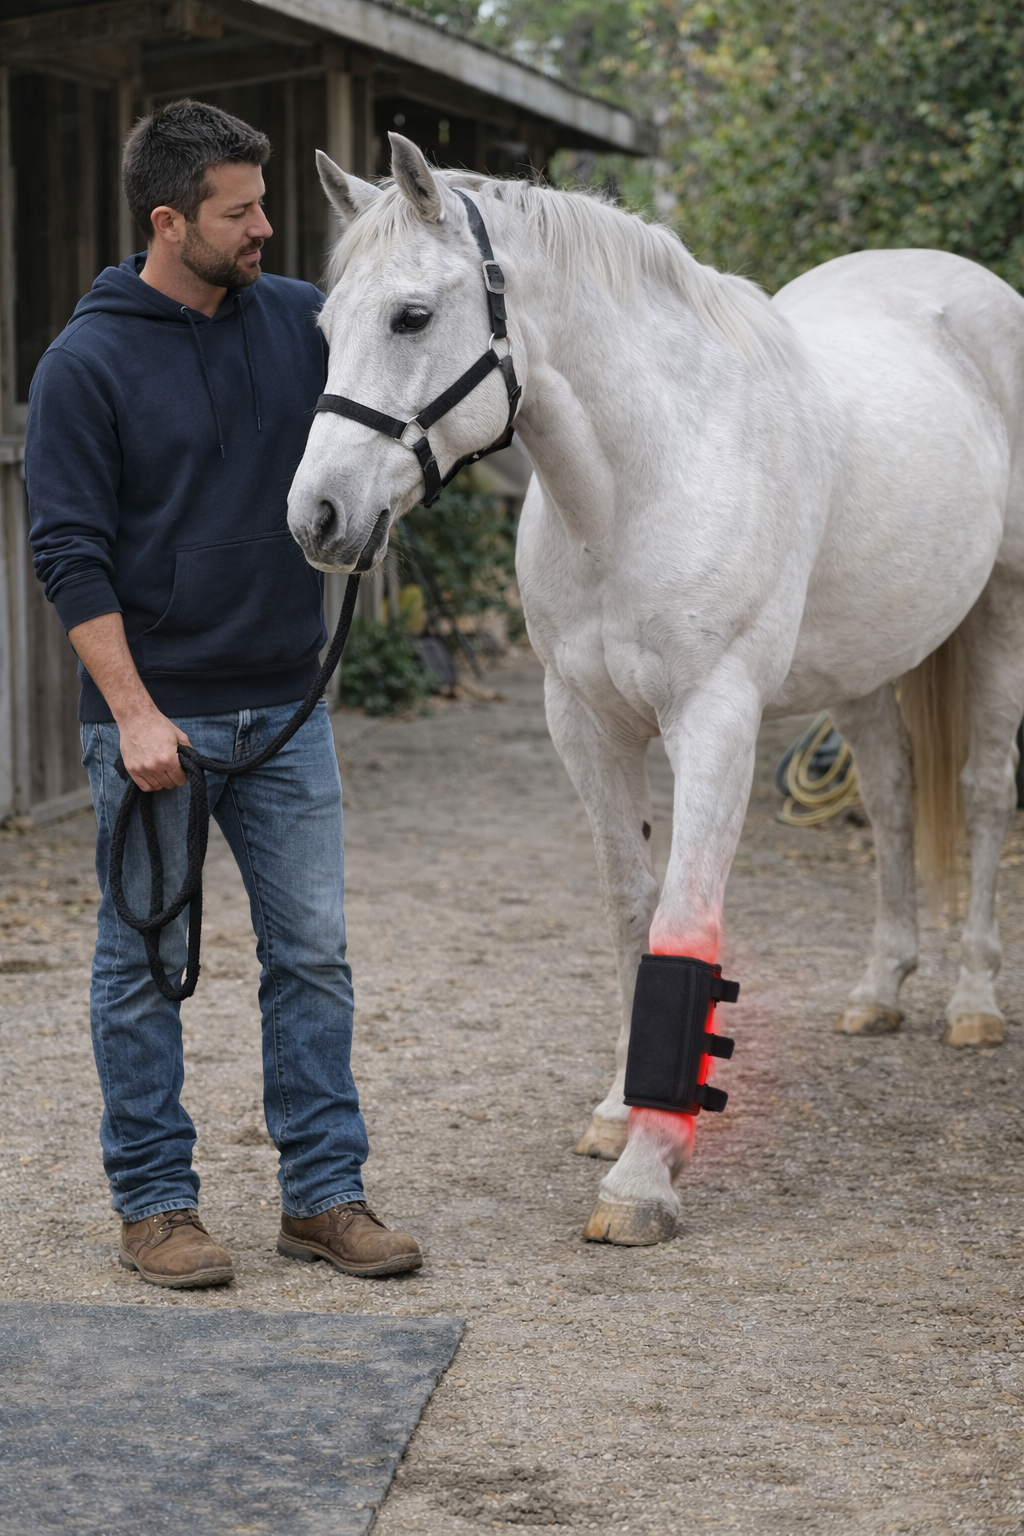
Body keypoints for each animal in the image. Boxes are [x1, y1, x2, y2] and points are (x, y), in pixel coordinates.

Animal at [287, 133, 1024, 1247]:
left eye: (410, 316)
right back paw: (881, 987)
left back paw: (973, 1000)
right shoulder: (585, 723)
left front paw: (646, 1173)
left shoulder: (714, 720)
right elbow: (631, 907)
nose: (317, 517)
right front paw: (616, 1111)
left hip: (998, 616)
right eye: (328, 327)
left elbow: (685, 914)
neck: (646, 480)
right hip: (864, 662)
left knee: (980, 794)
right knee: (895, 798)